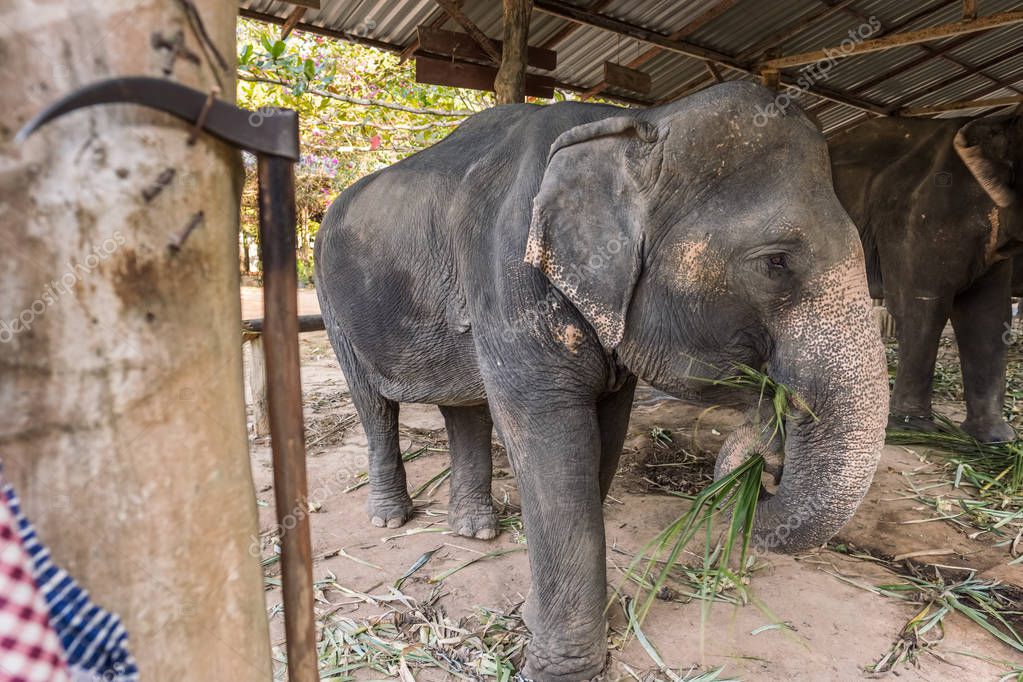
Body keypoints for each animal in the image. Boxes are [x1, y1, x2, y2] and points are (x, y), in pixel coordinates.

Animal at [314, 82, 888, 681]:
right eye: (777, 262)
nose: (769, 450)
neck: (635, 122)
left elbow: (605, 437)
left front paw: (548, 619)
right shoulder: (507, 271)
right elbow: (553, 445)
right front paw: (559, 669)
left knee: (461, 405)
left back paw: (474, 531)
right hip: (331, 300)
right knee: (373, 404)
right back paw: (389, 518)